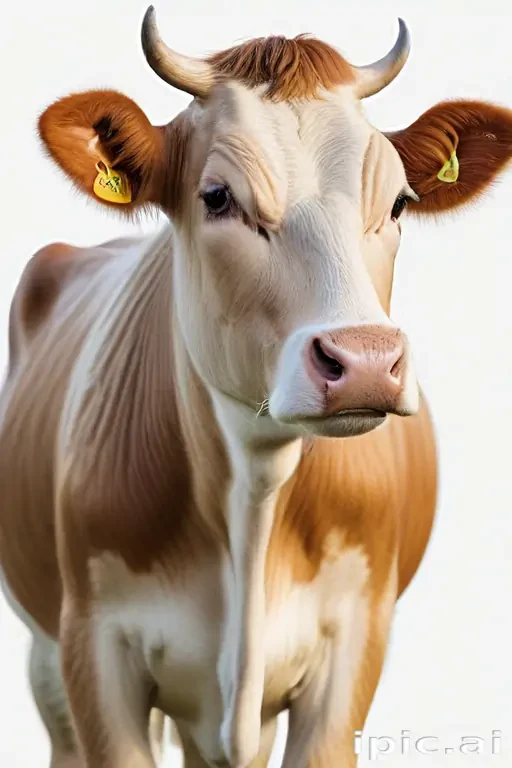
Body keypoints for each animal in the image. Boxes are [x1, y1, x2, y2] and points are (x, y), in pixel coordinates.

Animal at [1, 7, 511, 767]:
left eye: (398, 202)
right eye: (217, 197)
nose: (365, 361)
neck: (255, 490)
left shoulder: (353, 643)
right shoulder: (94, 648)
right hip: (47, 661)